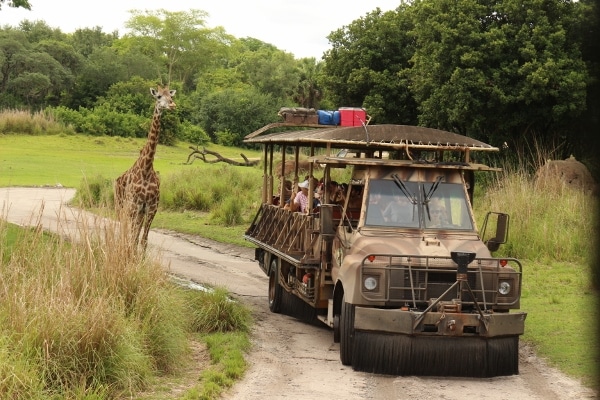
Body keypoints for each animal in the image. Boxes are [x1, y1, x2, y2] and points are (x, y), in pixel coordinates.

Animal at [114, 85, 176, 248]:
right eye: (158, 96)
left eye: (171, 96)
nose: (172, 105)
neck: (146, 168)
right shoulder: (134, 206)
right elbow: (131, 237)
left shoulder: (151, 208)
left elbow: (142, 240)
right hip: (120, 206)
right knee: (124, 231)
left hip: (137, 212)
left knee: (133, 234)